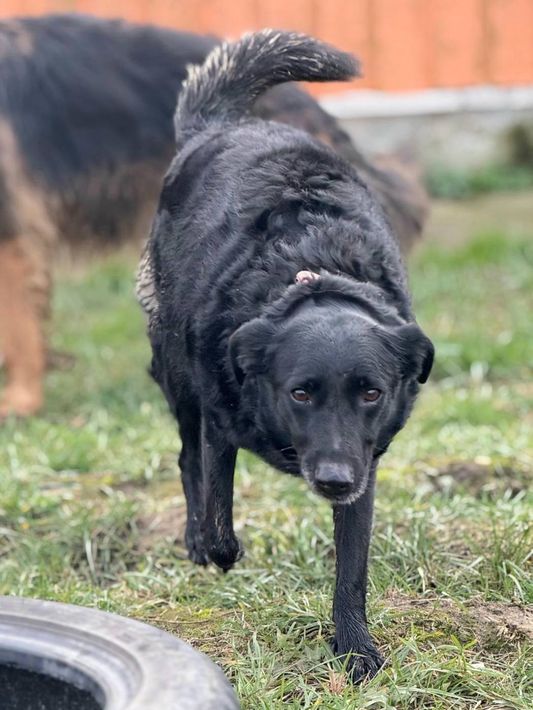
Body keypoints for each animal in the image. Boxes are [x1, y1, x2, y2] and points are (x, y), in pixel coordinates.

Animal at [138, 30, 434, 681]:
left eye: (371, 392)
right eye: (300, 391)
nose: (332, 480)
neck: (313, 269)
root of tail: (225, 125)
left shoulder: (365, 460)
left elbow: (352, 568)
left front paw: (355, 648)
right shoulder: (221, 419)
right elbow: (218, 504)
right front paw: (217, 549)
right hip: (174, 370)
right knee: (186, 457)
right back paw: (196, 541)